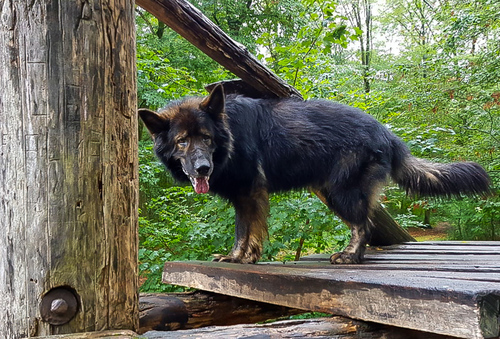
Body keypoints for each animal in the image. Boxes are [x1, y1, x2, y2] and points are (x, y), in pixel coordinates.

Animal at [139, 83, 490, 264]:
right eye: (182, 141)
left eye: (206, 138)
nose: (203, 168)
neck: (230, 136)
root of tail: (386, 132)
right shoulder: (243, 196)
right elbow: (245, 229)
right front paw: (241, 256)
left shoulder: (250, 192)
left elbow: (246, 229)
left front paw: (241, 257)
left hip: (341, 193)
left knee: (364, 224)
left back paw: (350, 256)